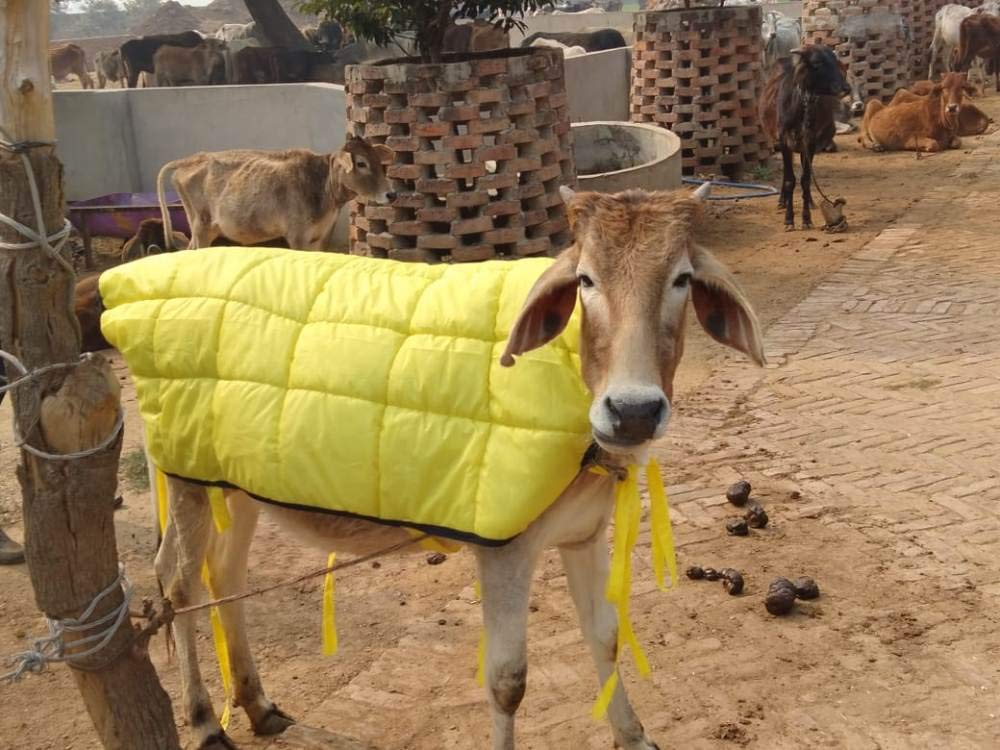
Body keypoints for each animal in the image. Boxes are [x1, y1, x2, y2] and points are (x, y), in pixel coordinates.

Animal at [145, 182, 765, 750]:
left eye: (681, 279)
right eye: (586, 279)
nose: (632, 411)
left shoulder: (584, 534)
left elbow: (606, 637)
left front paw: (634, 736)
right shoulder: (505, 549)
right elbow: (508, 681)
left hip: (234, 484)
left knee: (224, 575)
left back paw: (257, 704)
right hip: (186, 479)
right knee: (179, 586)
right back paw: (204, 721)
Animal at [156, 137, 395, 251]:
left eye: (379, 161)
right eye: (361, 163)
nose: (390, 194)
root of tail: (193, 159)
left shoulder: (320, 237)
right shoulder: (298, 236)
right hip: (201, 227)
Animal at [760, 46, 851, 229]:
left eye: (835, 60)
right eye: (817, 62)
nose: (845, 87)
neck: (801, 106)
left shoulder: (810, 143)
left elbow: (806, 180)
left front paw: (806, 219)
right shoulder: (784, 142)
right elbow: (790, 180)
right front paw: (789, 220)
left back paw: (809, 201)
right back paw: (781, 201)